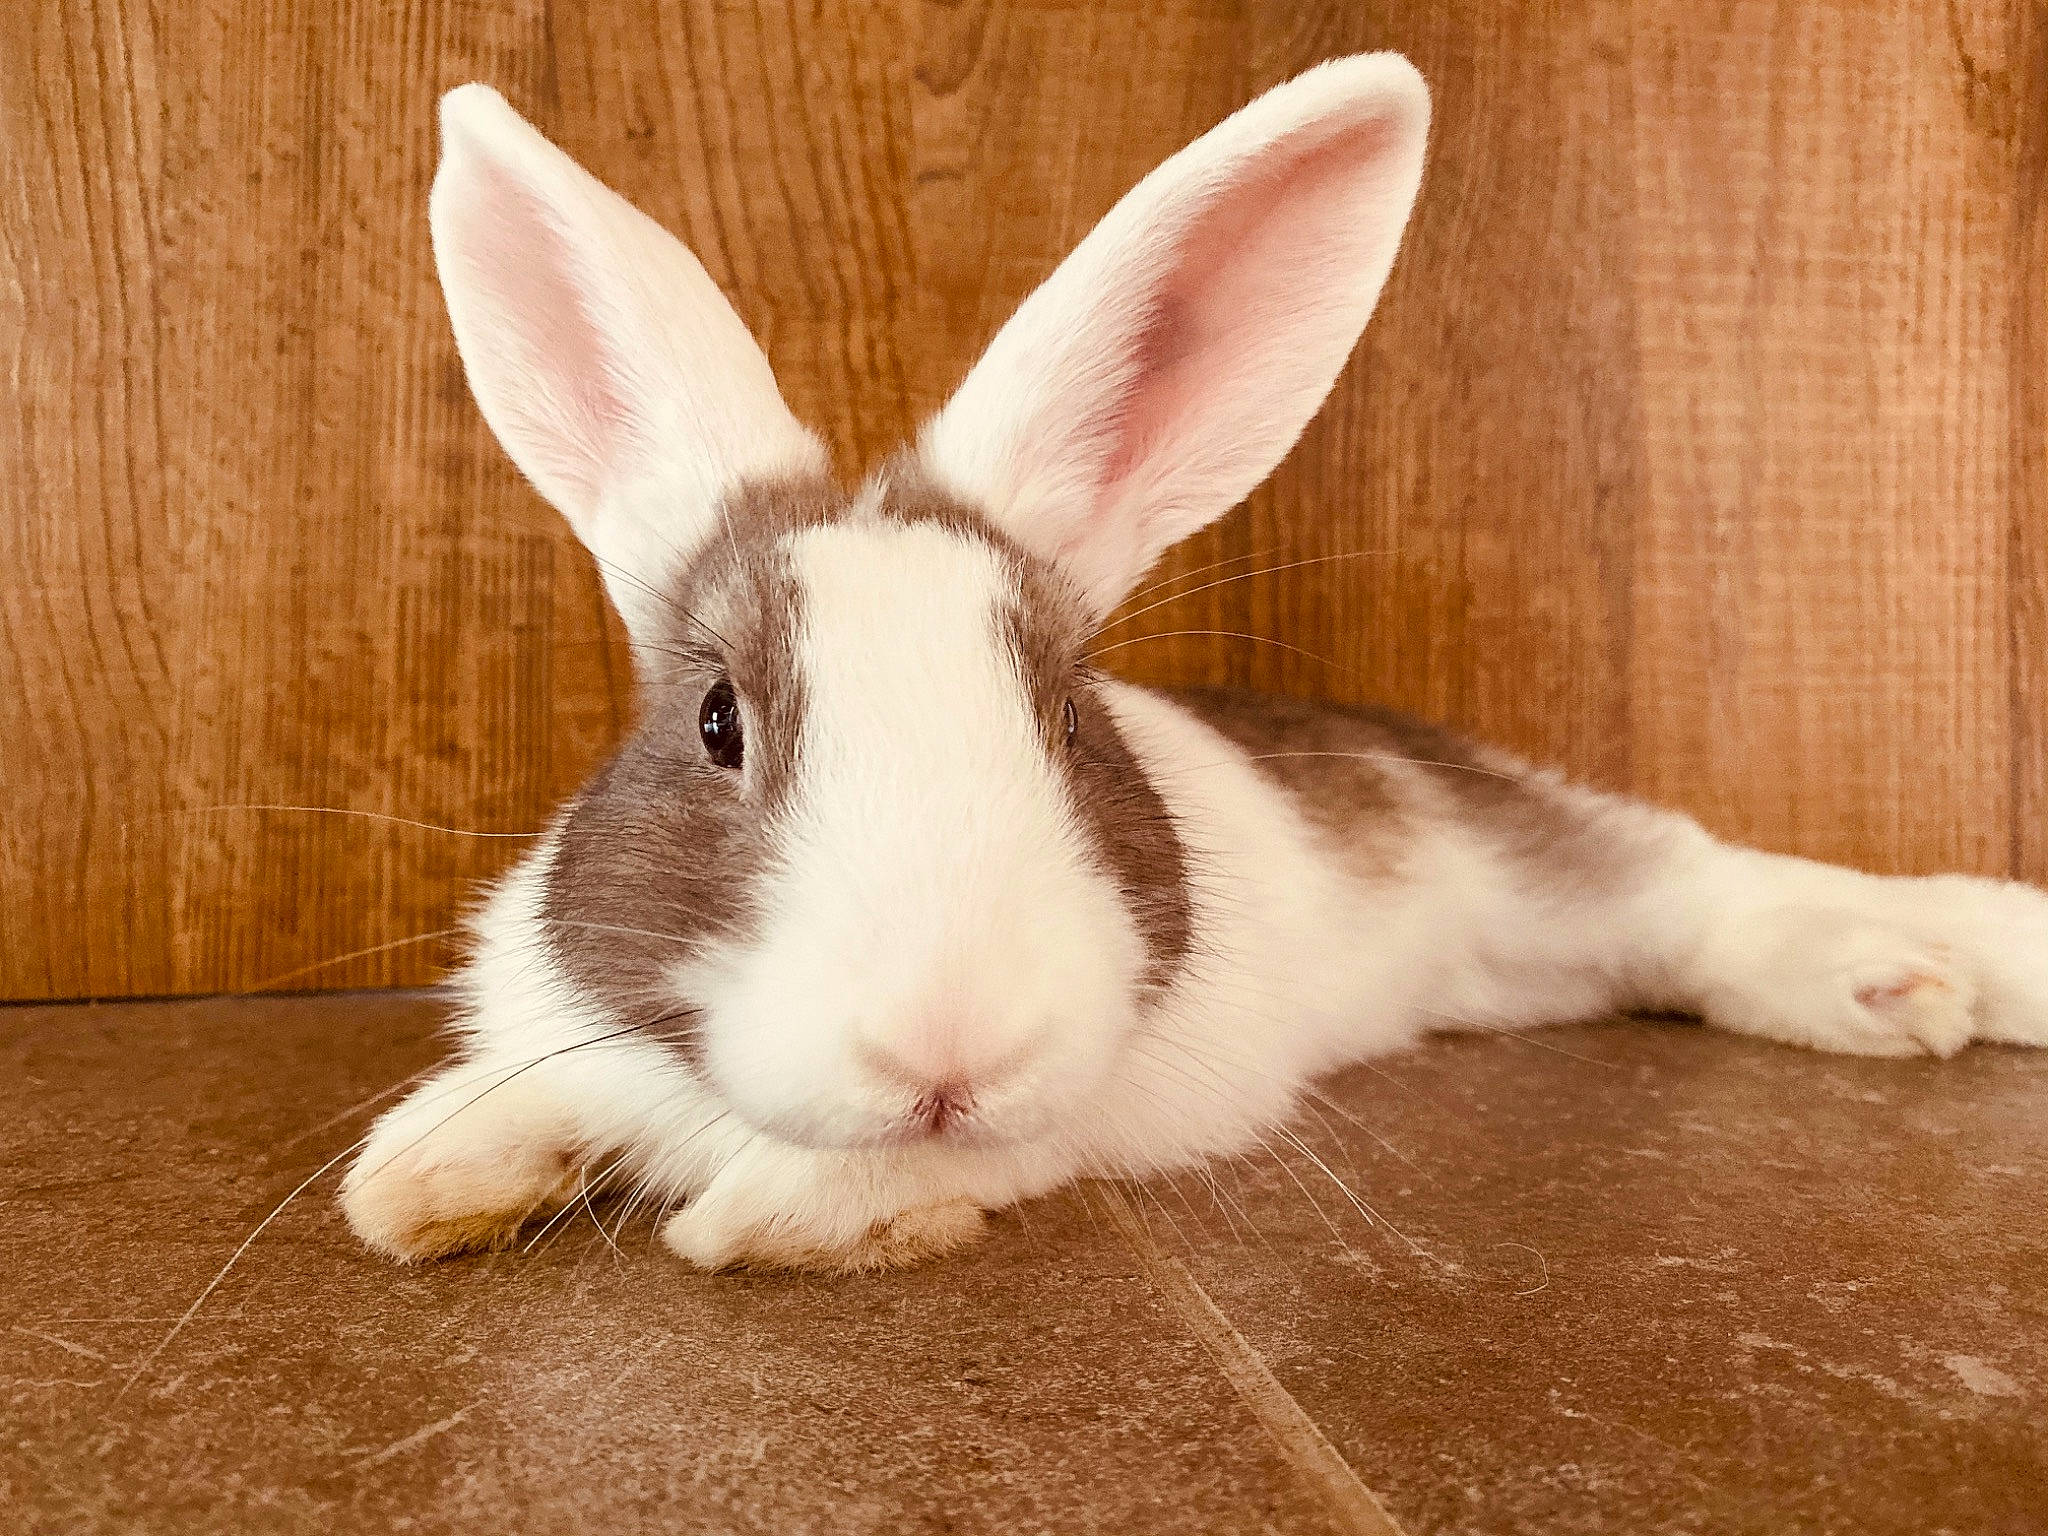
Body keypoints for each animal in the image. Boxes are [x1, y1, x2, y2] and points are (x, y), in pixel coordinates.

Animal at [340, 55, 2048, 1274]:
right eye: (715, 723)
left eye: (1062, 716)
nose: (949, 1051)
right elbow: (527, 1092)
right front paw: (421, 1178)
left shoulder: (1134, 1096)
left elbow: (932, 1166)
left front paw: (784, 1212)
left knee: (1699, 888)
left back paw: (1938, 967)